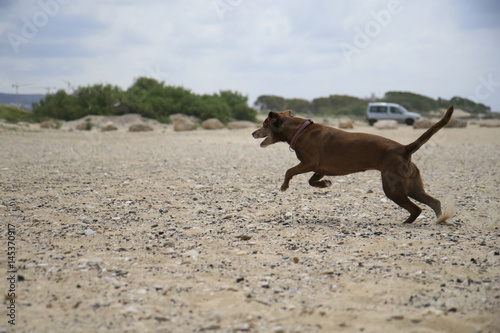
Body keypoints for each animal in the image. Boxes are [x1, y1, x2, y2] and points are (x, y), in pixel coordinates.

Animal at [252, 106, 456, 223]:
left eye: (264, 124)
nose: (253, 133)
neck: (299, 130)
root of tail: (405, 149)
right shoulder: (319, 168)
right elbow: (312, 181)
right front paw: (325, 184)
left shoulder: (309, 163)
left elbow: (289, 171)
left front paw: (284, 186)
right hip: (412, 186)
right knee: (434, 202)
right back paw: (440, 220)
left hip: (393, 188)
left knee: (417, 208)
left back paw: (407, 222)